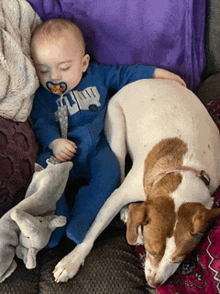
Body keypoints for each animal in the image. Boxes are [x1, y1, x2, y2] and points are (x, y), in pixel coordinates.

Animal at [52, 80, 220, 288]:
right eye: (151, 250)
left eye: (179, 258)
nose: (154, 283)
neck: (183, 171)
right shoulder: (117, 197)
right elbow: (91, 233)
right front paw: (72, 260)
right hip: (117, 129)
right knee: (120, 168)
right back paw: (126, 211)